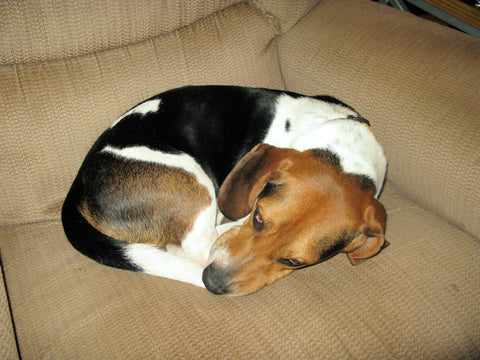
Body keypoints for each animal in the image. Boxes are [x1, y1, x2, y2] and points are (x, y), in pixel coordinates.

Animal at [62, 86, 388, 296]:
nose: (213, 283)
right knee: (198, 244)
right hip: (193, 178)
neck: (345, 151)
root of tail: (79, 184)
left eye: (294, 262)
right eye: (258, 218)